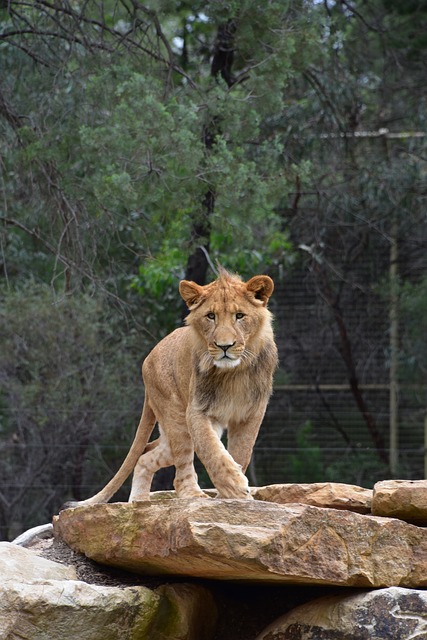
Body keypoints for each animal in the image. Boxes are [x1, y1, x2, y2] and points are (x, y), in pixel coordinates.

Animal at [63, 264, 278, 504]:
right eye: (210, 316)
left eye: (239, 316)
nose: (224, 346)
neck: (233, 373)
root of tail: (148, 357)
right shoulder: (196, 410)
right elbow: (211, 449)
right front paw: (235, 485)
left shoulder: (251, 413)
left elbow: (241, 452)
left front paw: (231, 495)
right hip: (176, 419)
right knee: (180, 469)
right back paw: (191, 495)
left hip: (170, 432)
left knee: (146, 456)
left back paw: (139, 502)